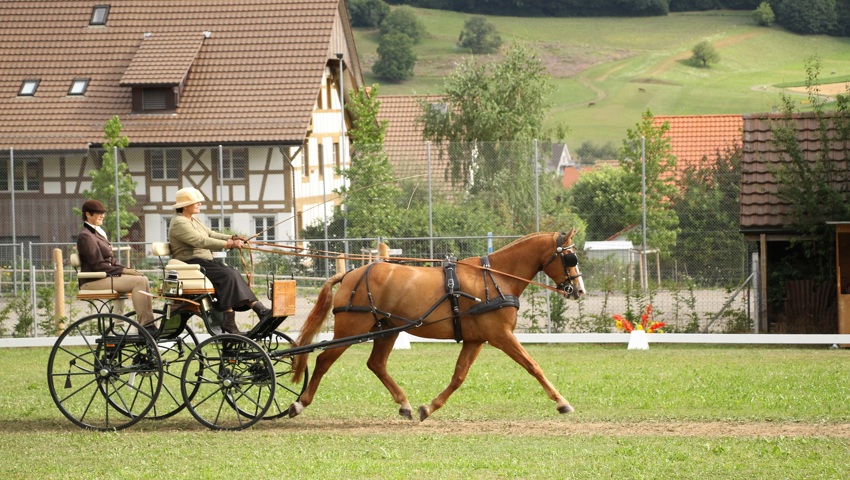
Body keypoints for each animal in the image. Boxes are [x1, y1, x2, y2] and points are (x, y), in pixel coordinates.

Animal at [286, 229, 584, 420]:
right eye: (570, 257)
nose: (579, 290)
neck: (496, 279)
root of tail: (349, 274)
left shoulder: (476, 340)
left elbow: (459, 376)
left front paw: (428, 408)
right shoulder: (501, 335)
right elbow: (533, 366)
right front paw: (562, 402)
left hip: (386, 330)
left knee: (376, 364)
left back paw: (404, 404)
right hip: (352, 328)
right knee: (324, 360)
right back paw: (300, 404)